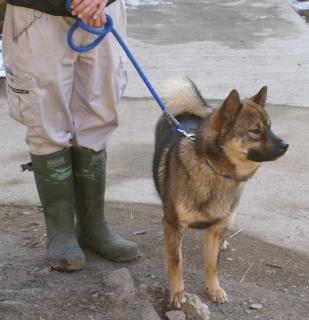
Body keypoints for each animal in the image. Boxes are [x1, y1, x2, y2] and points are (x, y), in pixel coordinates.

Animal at [153, 78, 288, 308]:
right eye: (255, 130)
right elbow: (176, 262)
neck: (215, 171)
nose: (286, 145)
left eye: (270, 127)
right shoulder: (173, 225)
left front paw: (213, 290)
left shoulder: (215, 230)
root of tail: (185, 114)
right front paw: (178, 292)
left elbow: (212, 265)